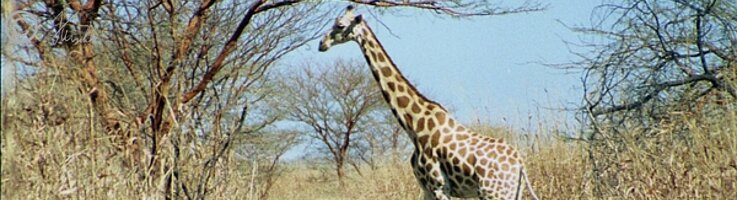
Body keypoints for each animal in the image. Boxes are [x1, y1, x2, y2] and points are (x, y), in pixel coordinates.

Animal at [320, 5, 536, 199]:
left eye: (339, 25)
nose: (321, 44)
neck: (413, 126)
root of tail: (520, 166)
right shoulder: (426, 188)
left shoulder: (439, 186)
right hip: (511, 193)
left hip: (494, 193)